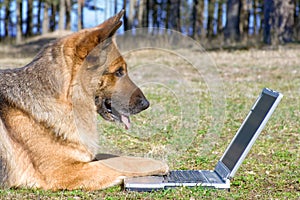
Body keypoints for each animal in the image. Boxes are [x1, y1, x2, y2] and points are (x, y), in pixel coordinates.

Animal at [0, 10, 169, 191]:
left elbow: (114, 157)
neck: (65, 99)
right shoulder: (64, 171)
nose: (146, 104)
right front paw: (157, 163)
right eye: (118, 72)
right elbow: (122, 163)